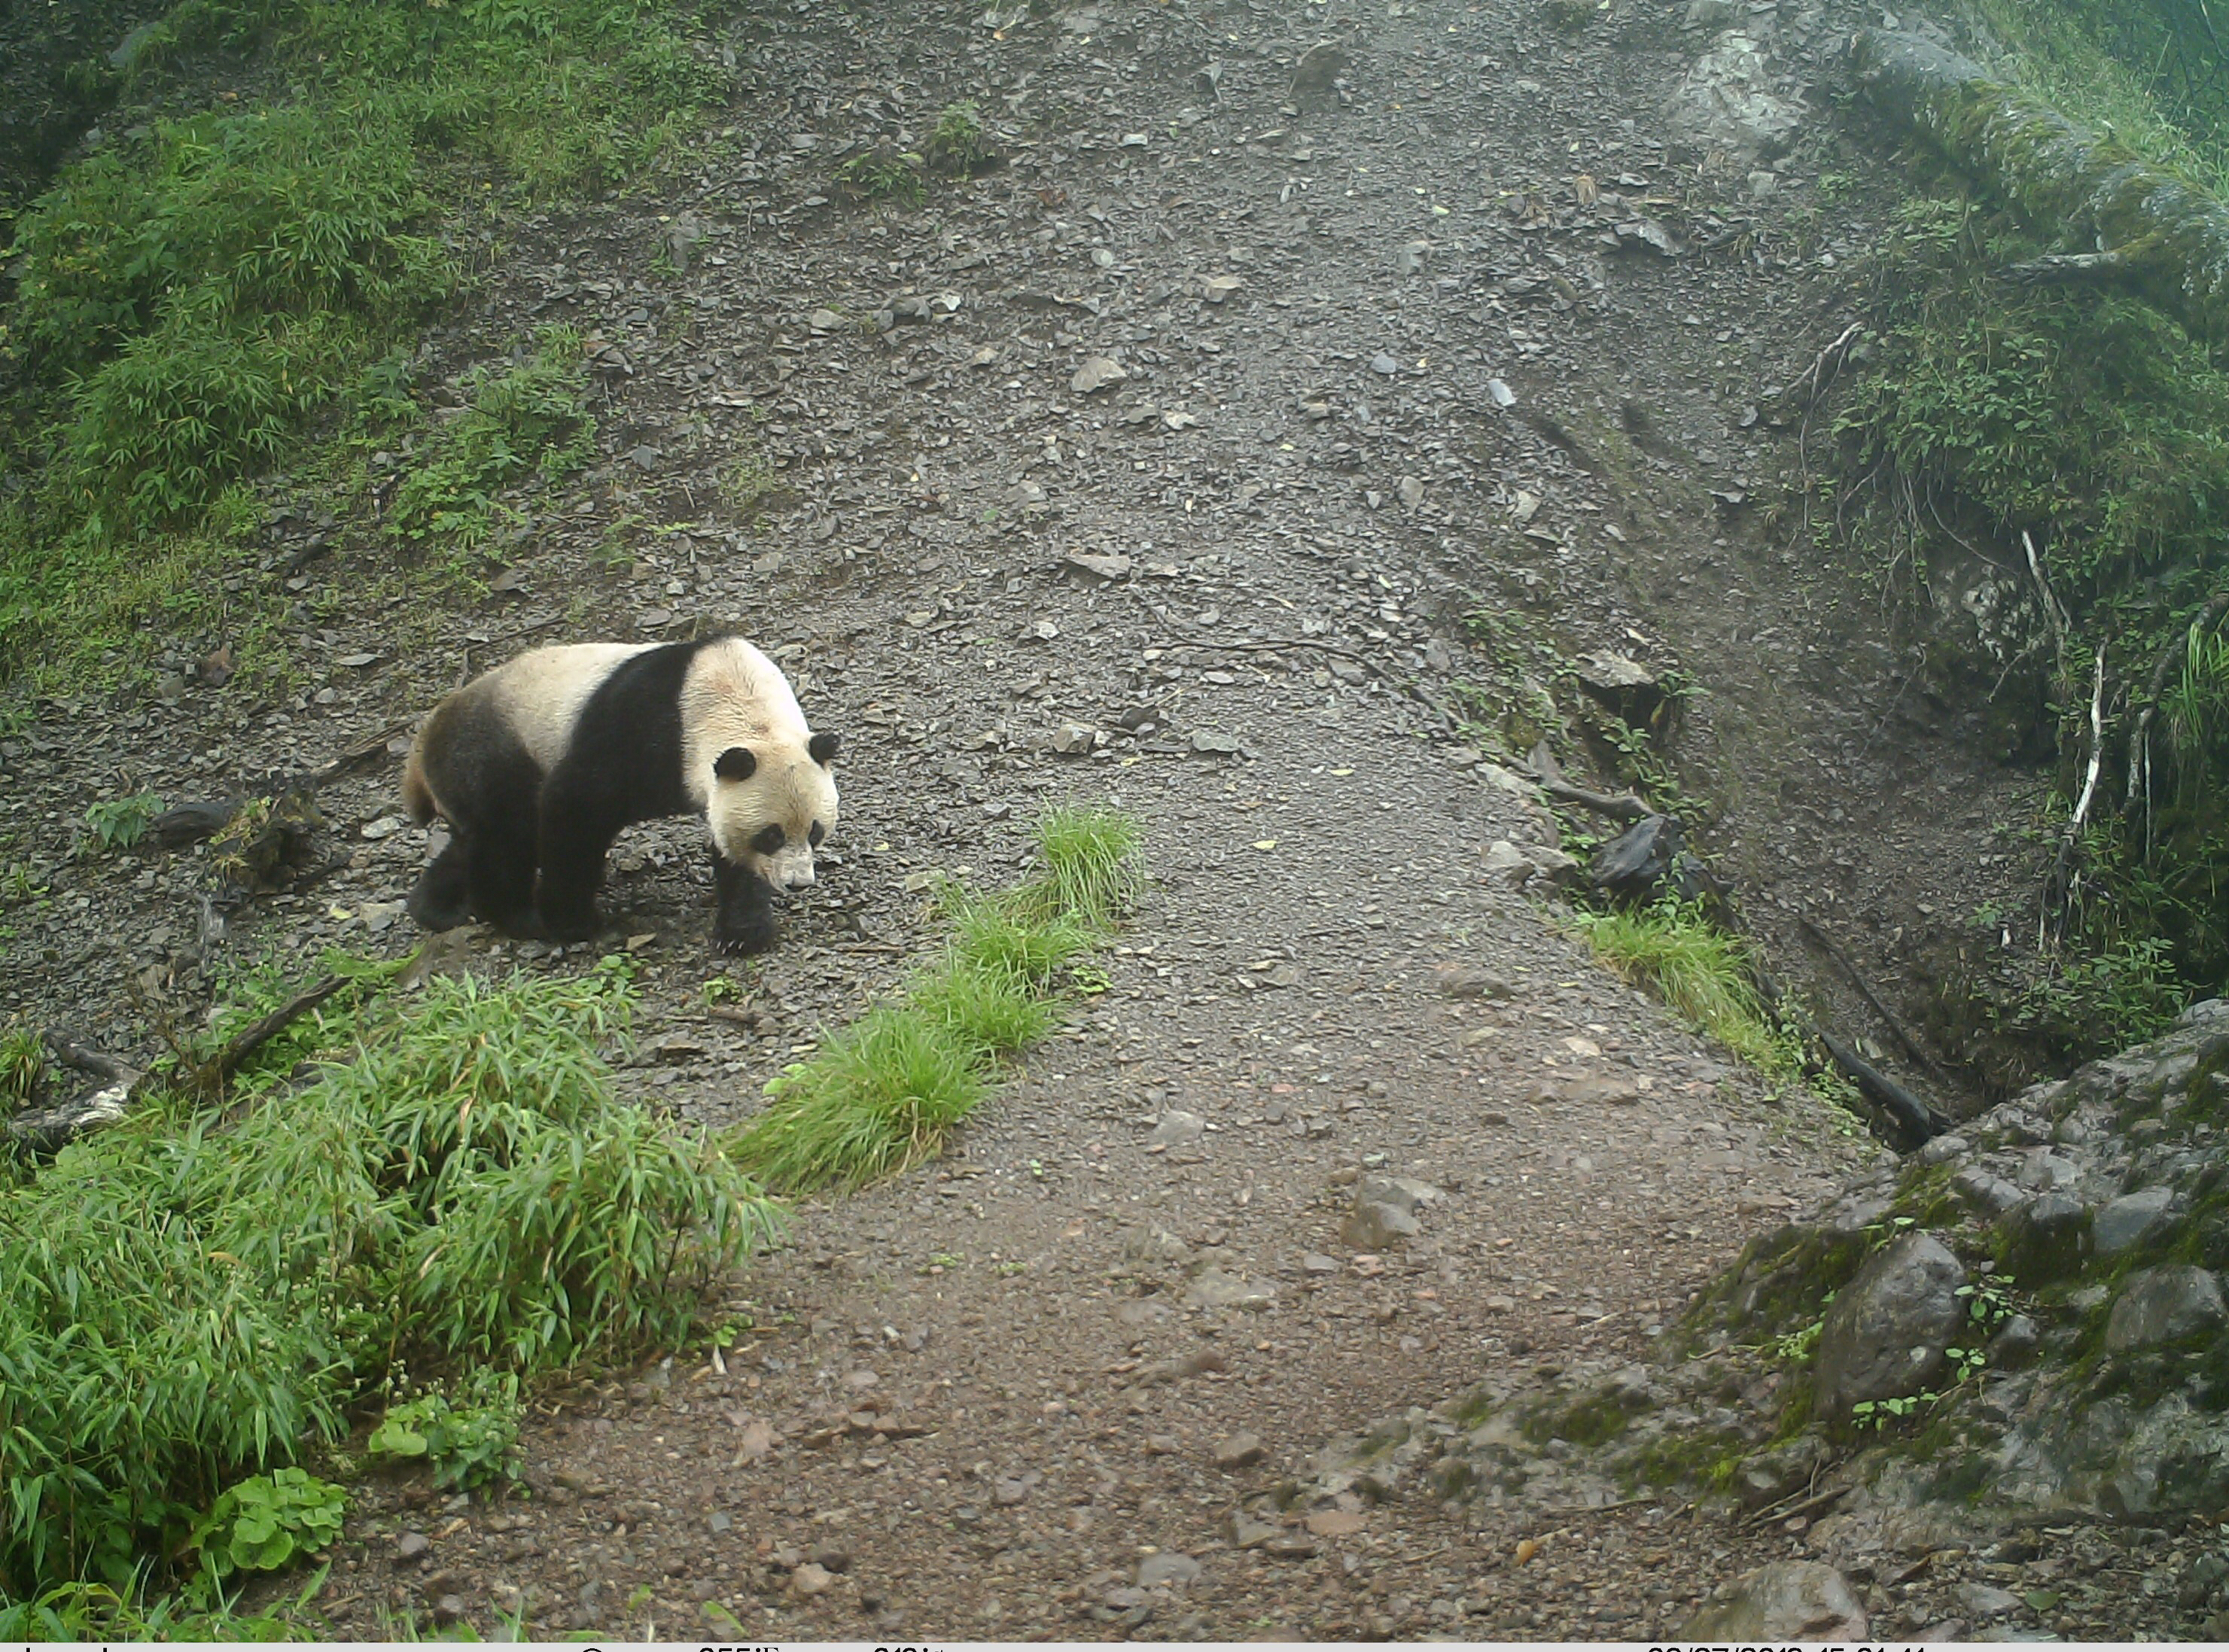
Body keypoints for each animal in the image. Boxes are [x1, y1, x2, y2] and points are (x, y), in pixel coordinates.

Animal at [397, 637, 838, 958]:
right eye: (772, 835)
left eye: (814, 832)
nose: (799, 883)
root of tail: (421, 745)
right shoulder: (641, 728)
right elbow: (574, 807)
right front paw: (573, 921)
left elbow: (730, 847)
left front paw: (742, 932)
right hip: (490, 748)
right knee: (506, 831)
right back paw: (519, 915)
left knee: (473, 838)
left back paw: (436, 906)